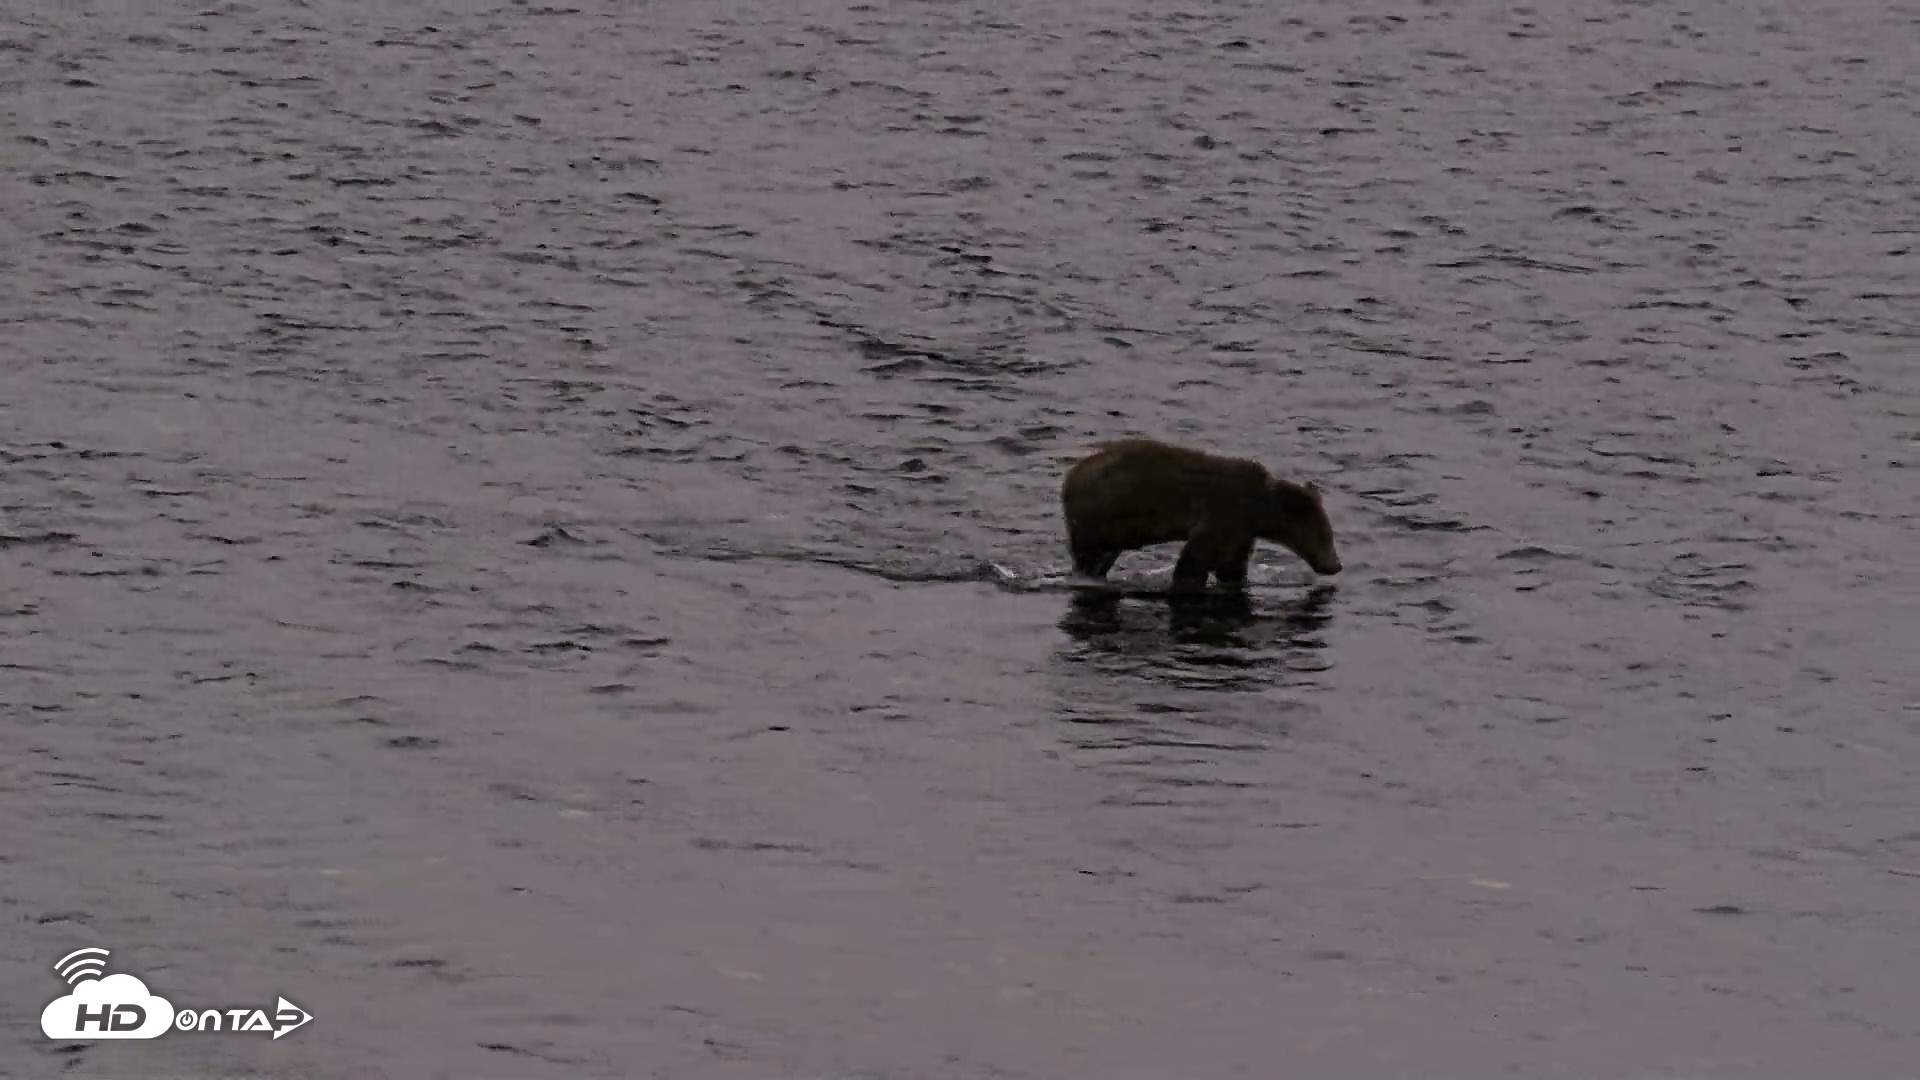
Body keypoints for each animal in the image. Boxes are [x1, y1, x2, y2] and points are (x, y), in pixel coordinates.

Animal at [1060, 438, 1342, 587]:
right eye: (1324, 534)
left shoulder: (1242, 530)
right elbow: (1197, 558)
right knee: (1090, 554)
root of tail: (1070, 477)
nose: (1336, 565)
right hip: (1099, 514)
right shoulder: (1224, 515)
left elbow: (1231, 563)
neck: (1259, 509)